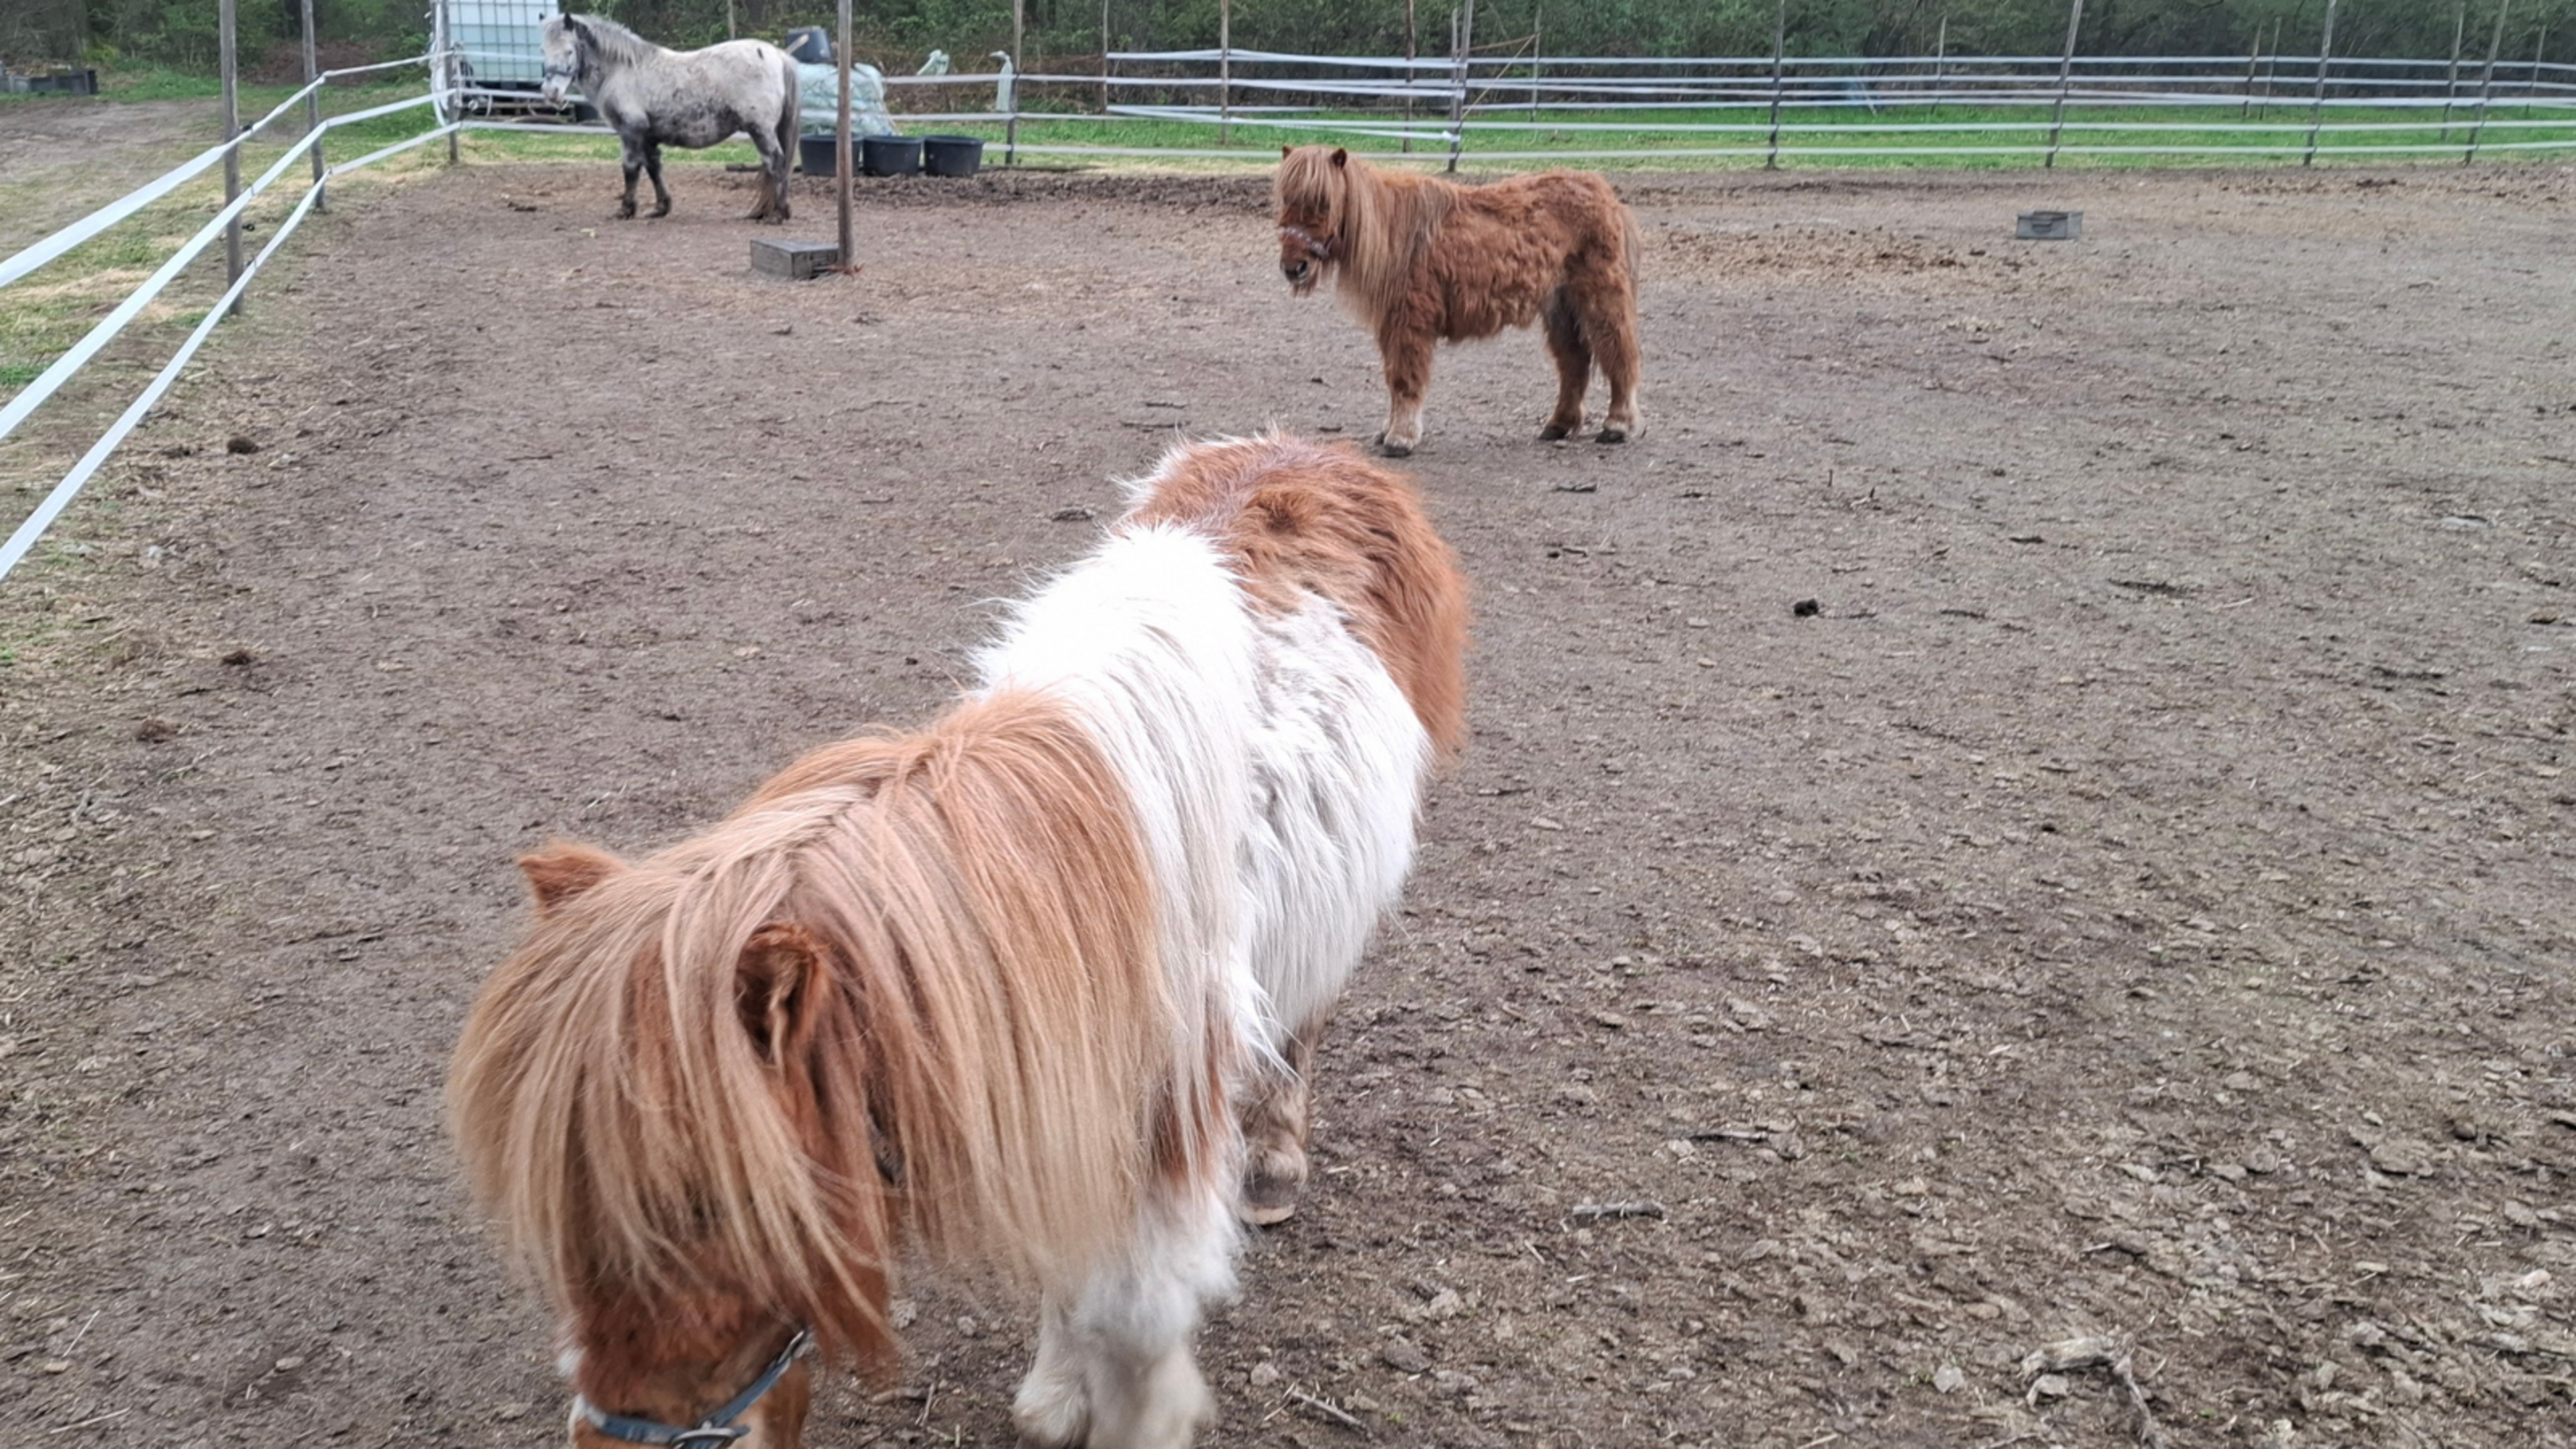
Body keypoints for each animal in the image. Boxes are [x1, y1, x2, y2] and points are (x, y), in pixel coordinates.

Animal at [449, 432, 1468, 1449]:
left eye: (712, 1205)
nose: (614, 1439)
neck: (1067, 885)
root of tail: (1308, 450)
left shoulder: (1164, 1115)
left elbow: (1136, 1324)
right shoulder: (1057, 1088)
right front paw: (1056, 1393)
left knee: (1304, 1023)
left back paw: (1272, 1167)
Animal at [540, 14, 798, 223]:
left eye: (569, 51)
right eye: (544, 51)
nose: (551, 92)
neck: (622, 70)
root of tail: (777, 55)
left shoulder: (631, 132)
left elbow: (631, 169)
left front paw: (626, 210)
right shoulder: (648, 137)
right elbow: (654, 168)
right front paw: (660, 208)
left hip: (761, 130)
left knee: (776, 163)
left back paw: (778, 214)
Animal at [1275, 145, 1644, 457]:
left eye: (1323, 202)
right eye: (1285, 201)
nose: (1294, 268)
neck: (1399, 237)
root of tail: (1603, 193)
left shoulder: (1410, 323)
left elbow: (1405, 380)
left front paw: (1401, 438)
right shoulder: (1393, 325)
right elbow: (1394, 378)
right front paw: (1388, 431)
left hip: (1600, 297)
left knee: (1618, 352)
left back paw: (1618, 424)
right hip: (1560, 307)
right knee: (1574, 362)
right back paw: (1559, 425)